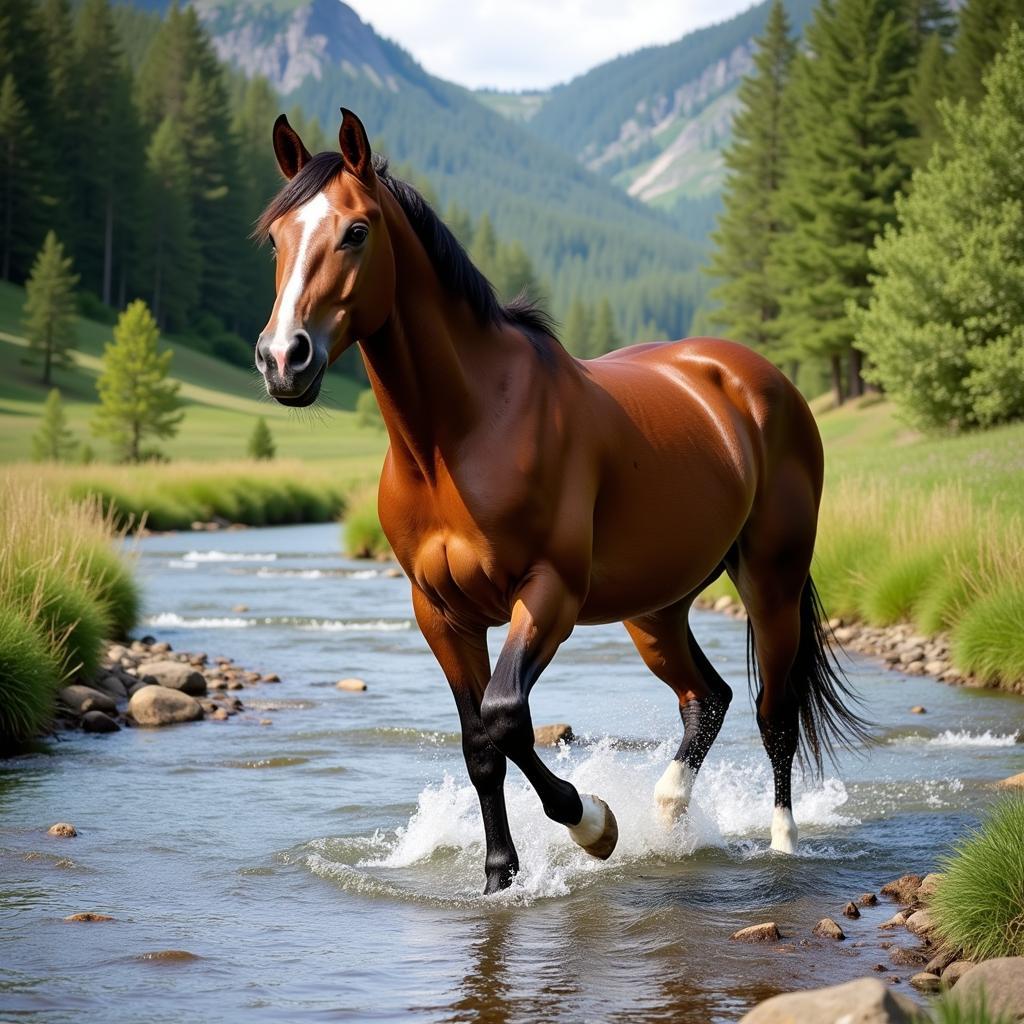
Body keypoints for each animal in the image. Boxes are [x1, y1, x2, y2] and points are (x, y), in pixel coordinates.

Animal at [251, 108, 868, 892]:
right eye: (276, 237)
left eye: (356, 231)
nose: (283, 359)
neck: (462, 433)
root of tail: (759, 379)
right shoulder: (440, 613)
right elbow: (478, 743)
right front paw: (499, 878)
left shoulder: (548, 594)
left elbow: (505, 716)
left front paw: (594, 825)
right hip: (656, 607)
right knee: (707, 699)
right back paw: (669, 817)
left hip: (771, 581)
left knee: (773, 712)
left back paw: (781, 844)